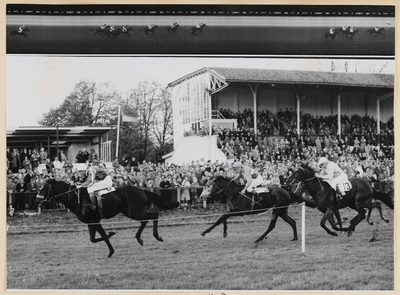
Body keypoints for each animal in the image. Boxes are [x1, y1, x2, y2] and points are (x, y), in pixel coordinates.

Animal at [37, 179, 178, 258]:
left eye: (44, 187)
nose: (37, 201)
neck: (77, 199)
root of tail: (141, 190)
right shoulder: (90, 222)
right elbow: (93, 239)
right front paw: (111, 235)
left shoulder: (95, 221)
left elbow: (103, 236)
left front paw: (111, 250)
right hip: (131, 212)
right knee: (145, 220)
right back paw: (139, 238)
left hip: (133, 212)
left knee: (154, 215)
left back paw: (156, 236)